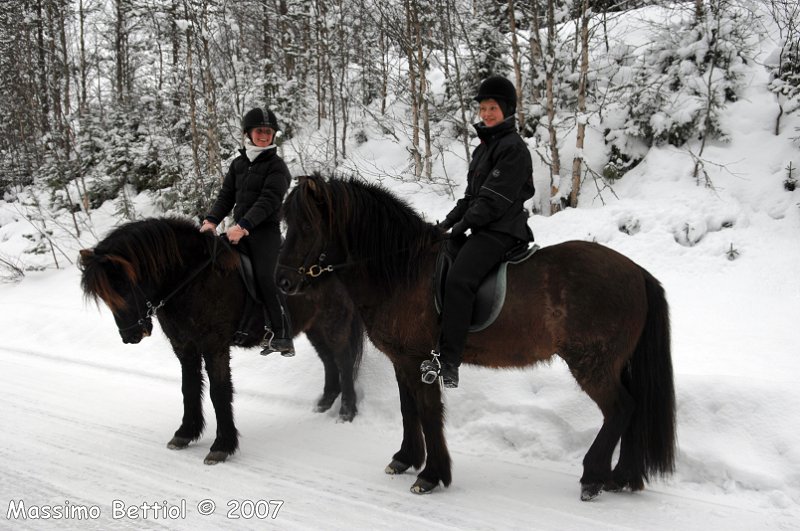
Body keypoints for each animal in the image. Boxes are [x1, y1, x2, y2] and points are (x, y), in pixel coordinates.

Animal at [78, 216, 366, 466]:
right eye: (105, 296)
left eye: (124, 289)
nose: (130, 336)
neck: (191, 279)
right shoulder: (184, 347)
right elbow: (189, 387)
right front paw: (185, 433)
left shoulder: (214, 346)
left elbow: (219, 391)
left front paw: (222, 446)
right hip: (314, 327)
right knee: (329, 361)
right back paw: (325, 403)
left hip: (334, 322)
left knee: (343, 360)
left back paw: (347, 412)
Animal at [276, 176, 676, 502]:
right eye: (286, 223)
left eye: (308, 225)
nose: (282, 282)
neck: (403, 269)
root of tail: (636, 272)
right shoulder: (402, 361)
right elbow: (408, 410)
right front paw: (405, 459)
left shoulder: (420, 361)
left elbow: (428, 413)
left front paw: (431, 475)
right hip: (612, 365)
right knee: (633, 408)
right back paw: (622, 477)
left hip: (592, 364)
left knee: (620, 408)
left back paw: (593, 476)